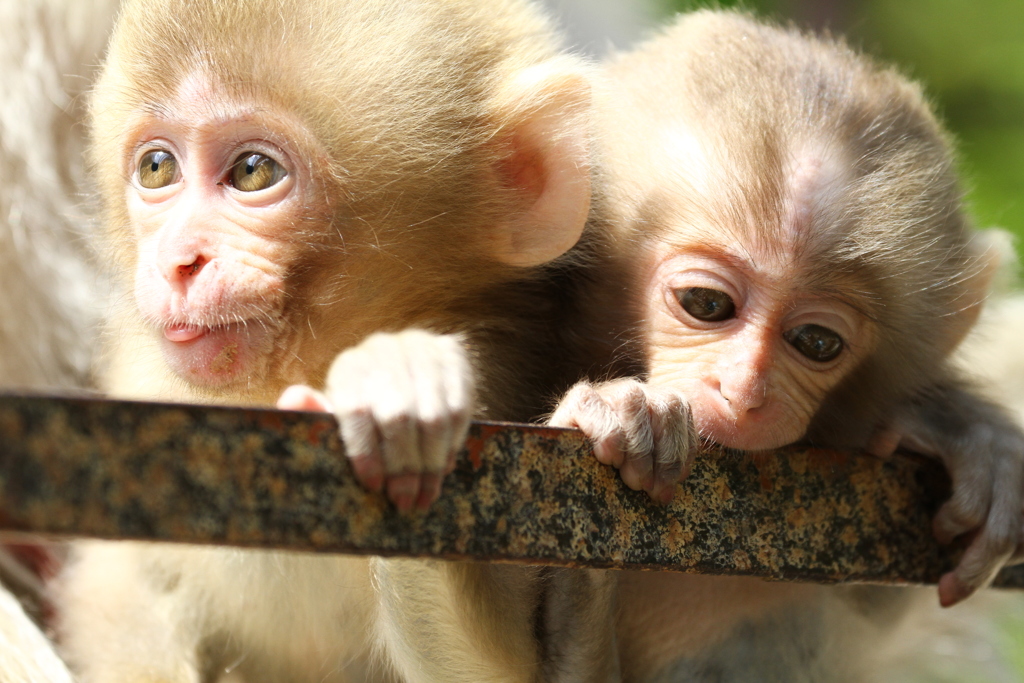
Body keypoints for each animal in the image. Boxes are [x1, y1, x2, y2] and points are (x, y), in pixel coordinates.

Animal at [51, 1, 634, 683]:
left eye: (253, 172)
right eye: (157, 167)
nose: (177, 261)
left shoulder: (499, 372)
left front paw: (397, 389)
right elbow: (113, 581)